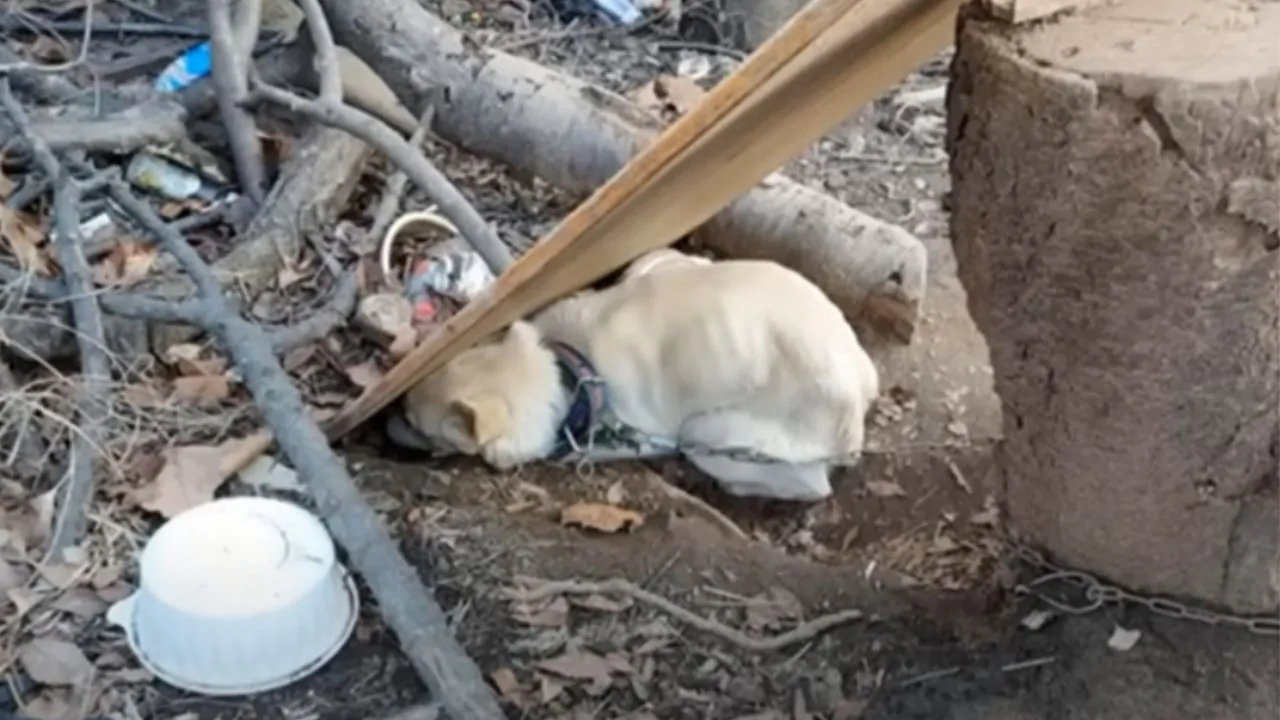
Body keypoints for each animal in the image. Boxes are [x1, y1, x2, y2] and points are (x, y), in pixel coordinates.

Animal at [399, 256, 880, 499]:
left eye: (421, 430)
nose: (388, 427)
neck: (567, 368)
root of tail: (859, 388)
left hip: (705, 432)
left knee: (810, 488)